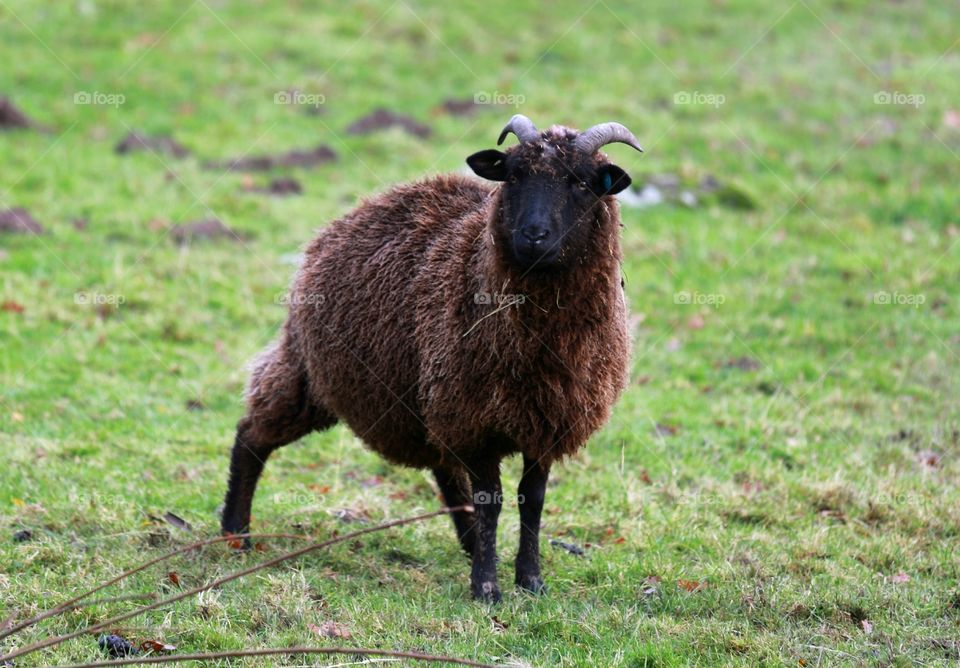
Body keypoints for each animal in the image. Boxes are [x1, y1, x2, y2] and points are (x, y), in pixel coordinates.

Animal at [221, 114, 643, 602]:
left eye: (582, 183)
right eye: (514, 175)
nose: (533, 236)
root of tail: (356, 212)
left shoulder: (547, 422)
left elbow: (531, 500)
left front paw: (529, 579)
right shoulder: (476, 421)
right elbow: (492, 501)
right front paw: (486, 587)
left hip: (424, 399)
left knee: (444, 471)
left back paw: (470, 543)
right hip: (319, 372)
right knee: (252, 432)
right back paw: (235, 532)